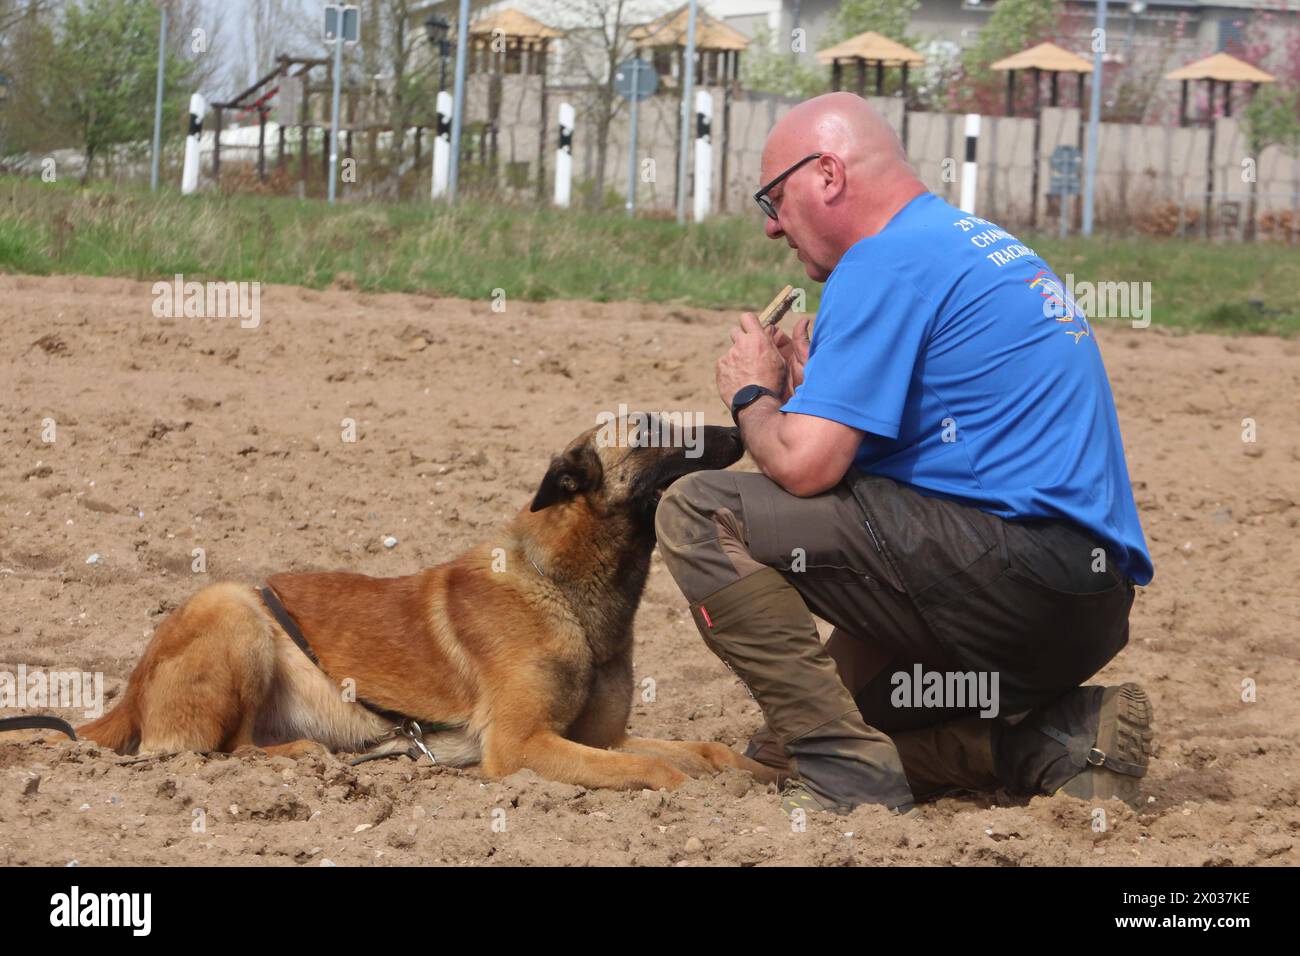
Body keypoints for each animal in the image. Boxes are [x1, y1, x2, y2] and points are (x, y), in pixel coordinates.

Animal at [65, 416, 774, 790]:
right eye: (655, 428)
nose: (737, 425)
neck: (564, 589)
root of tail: (129, 692)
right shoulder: (520, 746)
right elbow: (653, 770)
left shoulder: (604, 735)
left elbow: (699, 751)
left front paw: (755, 771)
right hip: (235, 608)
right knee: (218, 750)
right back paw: (300, 757)